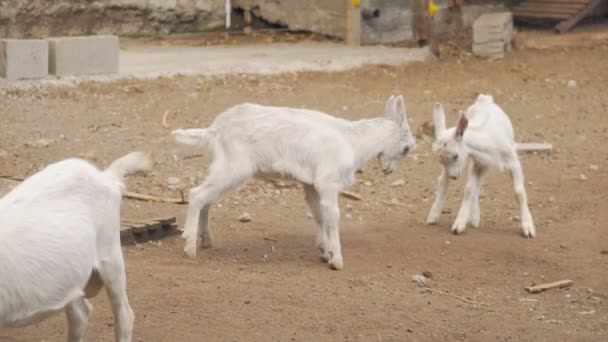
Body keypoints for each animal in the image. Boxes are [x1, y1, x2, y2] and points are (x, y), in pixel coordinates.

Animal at [173, 94, 416, 270]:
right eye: (406, 149)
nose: (388, 170)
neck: (354, 142)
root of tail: (215, 129)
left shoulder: (311, 185)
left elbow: (318, 214)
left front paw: (324, 251)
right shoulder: (328, 183)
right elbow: (333, 217)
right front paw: (336, 260)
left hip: (223, 167)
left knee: (207, 199)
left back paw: (205, 239)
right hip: (234, 168)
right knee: (197, 195)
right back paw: (189, 246)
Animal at [426, 93, 536, 238]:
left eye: (455, 156)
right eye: (441, 161)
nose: (454, 177)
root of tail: (484, 99)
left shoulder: (513, 163)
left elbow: (519, 192)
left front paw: (528, 227)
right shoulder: (478, 163)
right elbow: (468, 189)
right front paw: (459, 224)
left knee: (476, 186)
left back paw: (474, 218)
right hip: (477, 163)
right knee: (444, 181)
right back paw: (435, 215)